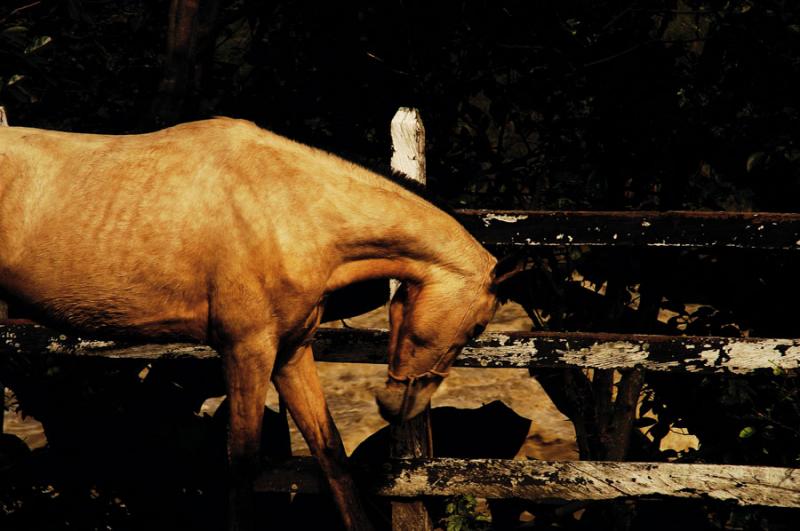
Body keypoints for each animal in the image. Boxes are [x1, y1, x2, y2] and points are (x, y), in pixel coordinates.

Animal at [0, 118, 520, 528]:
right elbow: (242, 464)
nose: (397, 405)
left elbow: (330, 452)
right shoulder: (246, 351)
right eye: (477, 328)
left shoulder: (291, 351)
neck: (287, 209)